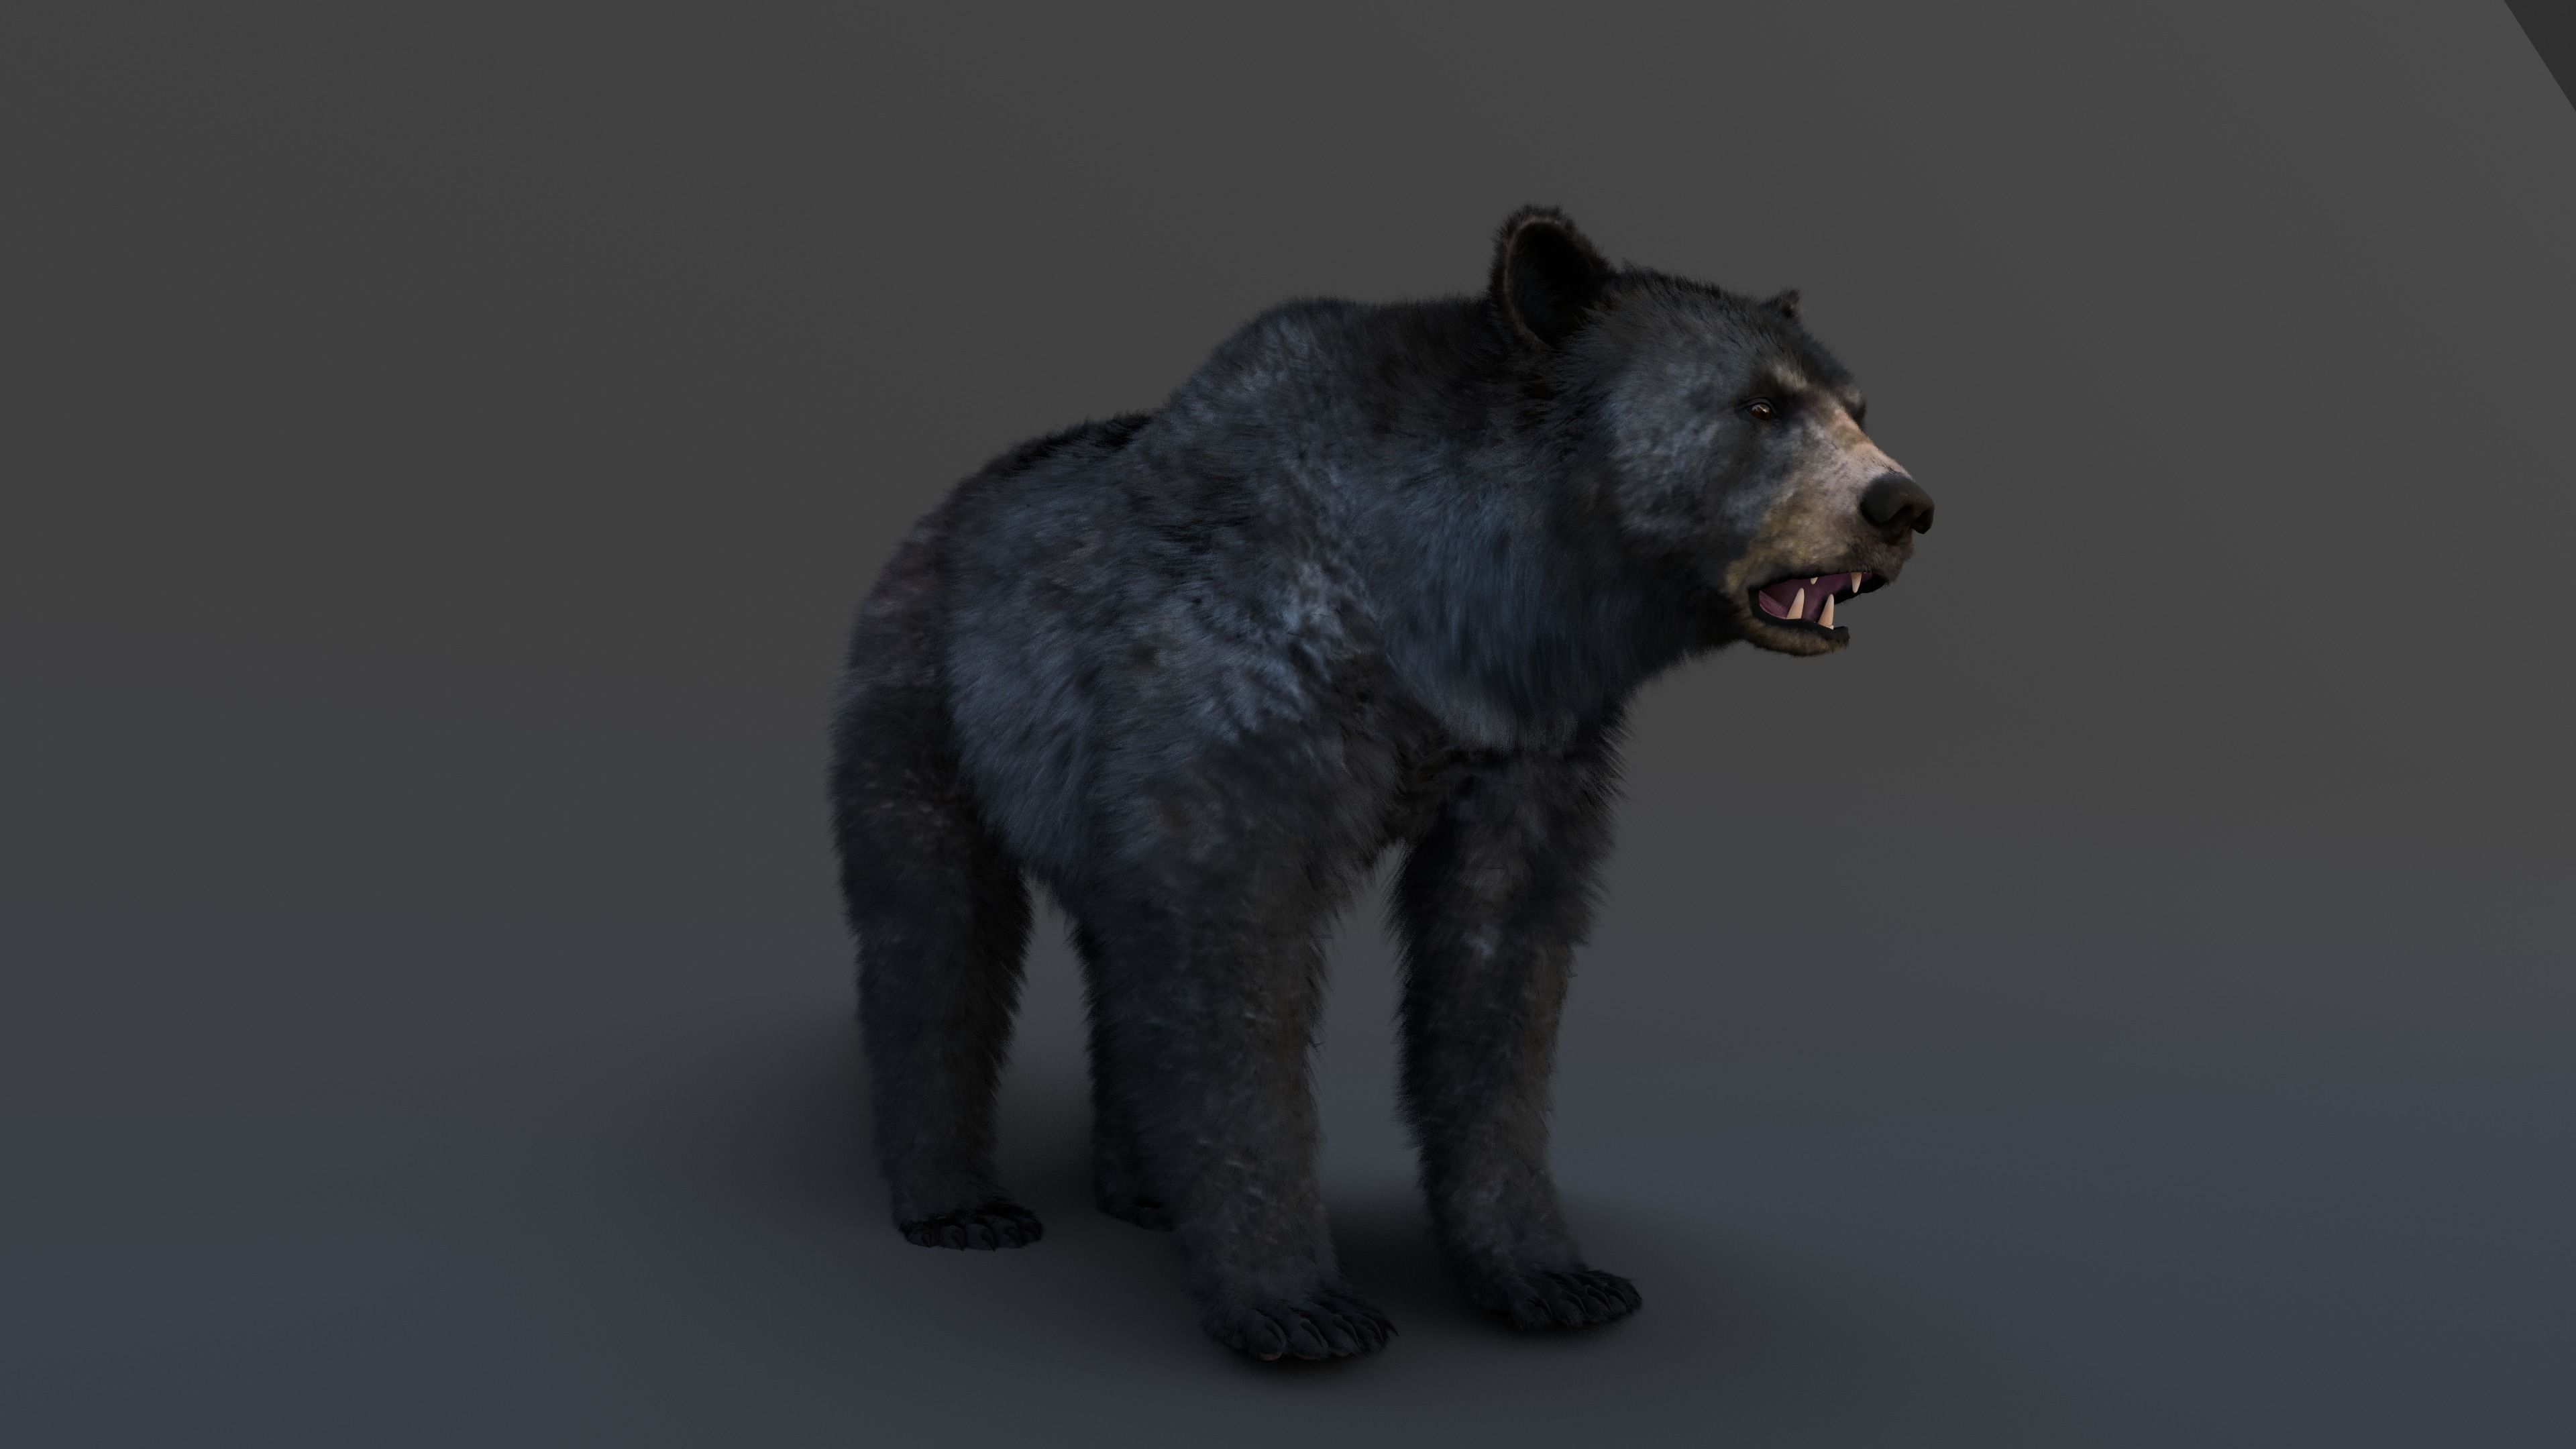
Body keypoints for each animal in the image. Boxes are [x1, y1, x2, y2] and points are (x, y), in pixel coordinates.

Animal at [827, 206, 1934, 1362]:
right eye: (1760, 405)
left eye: (1856, 405)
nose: (1902, 503)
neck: (1454, 610)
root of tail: (941, 512)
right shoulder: (1244, 686)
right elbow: (1232, 970)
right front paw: (1300, 1306)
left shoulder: (1533, 747)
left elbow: (1498, 969)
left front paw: (1550, 1275)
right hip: (926, 699)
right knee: (936, 926)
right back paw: (960, 1204)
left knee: (1113, 946)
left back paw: (1146, 1191)